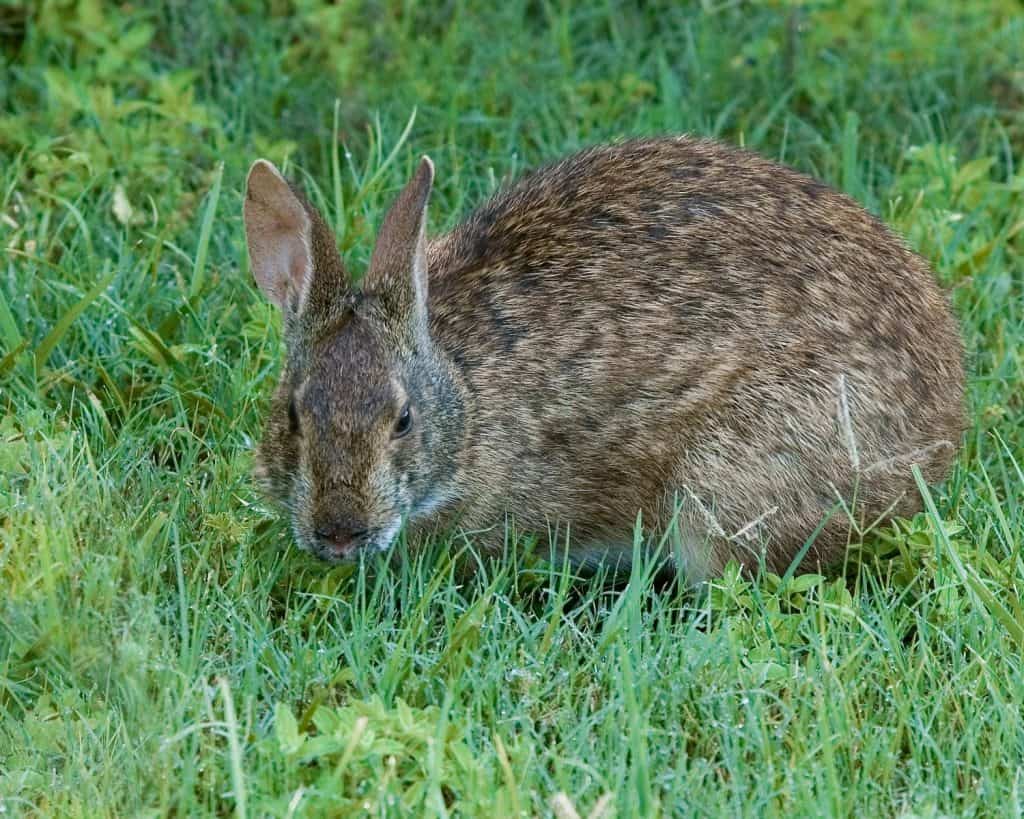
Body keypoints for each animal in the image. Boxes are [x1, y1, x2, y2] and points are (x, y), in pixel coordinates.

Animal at [243, 136, 966, 581]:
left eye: (403, 420)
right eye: (293, 417)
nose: (340, 531)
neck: (466, 401)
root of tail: (942, 435)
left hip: (733, 483)